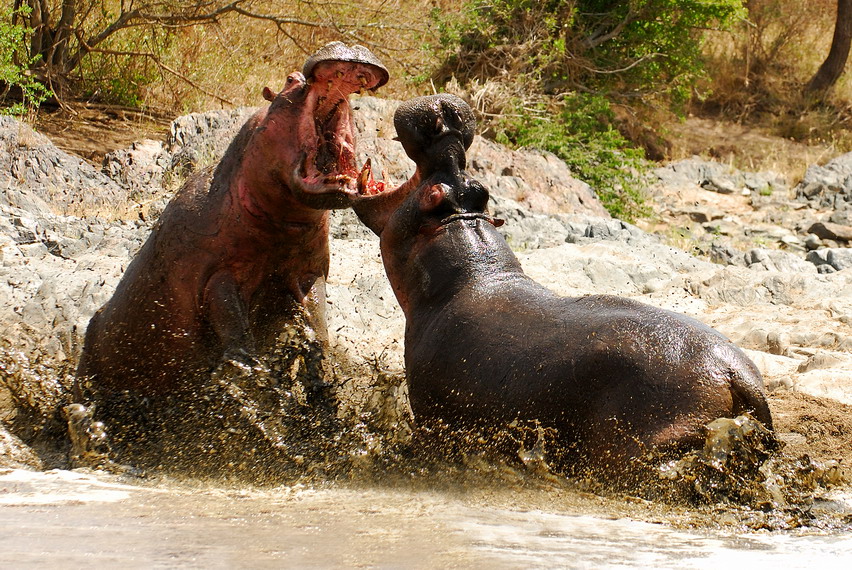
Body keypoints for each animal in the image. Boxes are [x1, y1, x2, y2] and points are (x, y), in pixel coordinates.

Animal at [76, 42, 390, 398]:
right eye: (289, 79)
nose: (349, 46)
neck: (280, 223)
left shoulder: (309, 269)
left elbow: (316, 320)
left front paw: (320, 371)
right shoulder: (217, 272)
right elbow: (231, 319)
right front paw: (249, 373)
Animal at [352, 93, 772, 480]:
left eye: (433, 195)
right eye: (481, 190)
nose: (446, 118)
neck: (470, 273)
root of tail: (733, 371)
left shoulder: (431, 417)